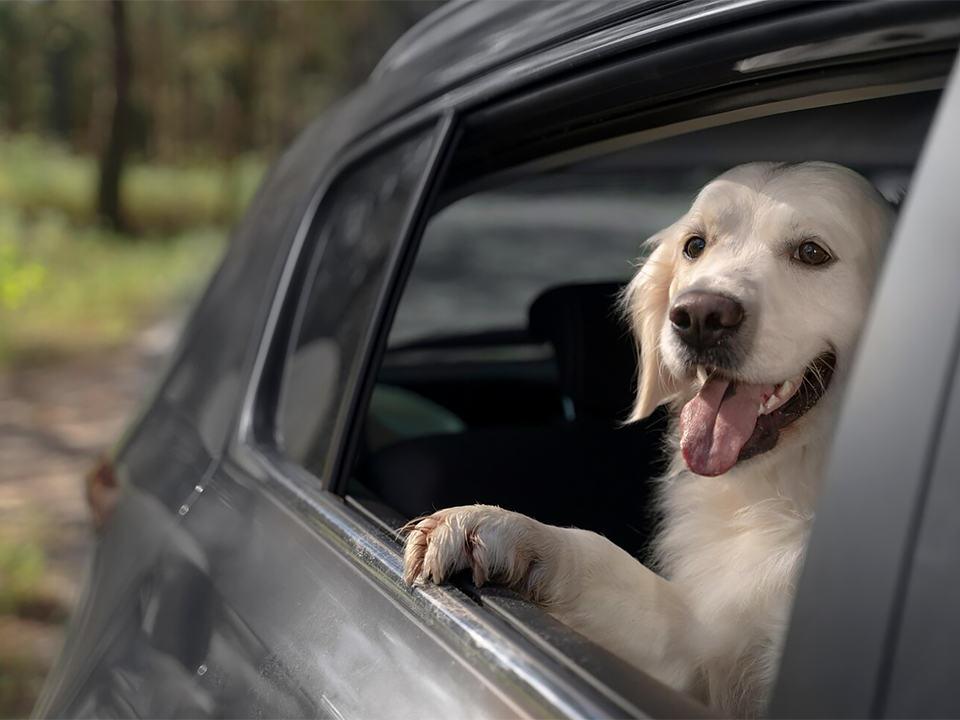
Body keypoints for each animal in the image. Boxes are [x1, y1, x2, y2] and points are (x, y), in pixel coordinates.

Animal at [400, 163, 892, 720]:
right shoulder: (698, 649)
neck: (783, 490)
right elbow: (600, 556)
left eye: (812, 252)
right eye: (695, 245)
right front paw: (494, 525)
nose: (699, 316)